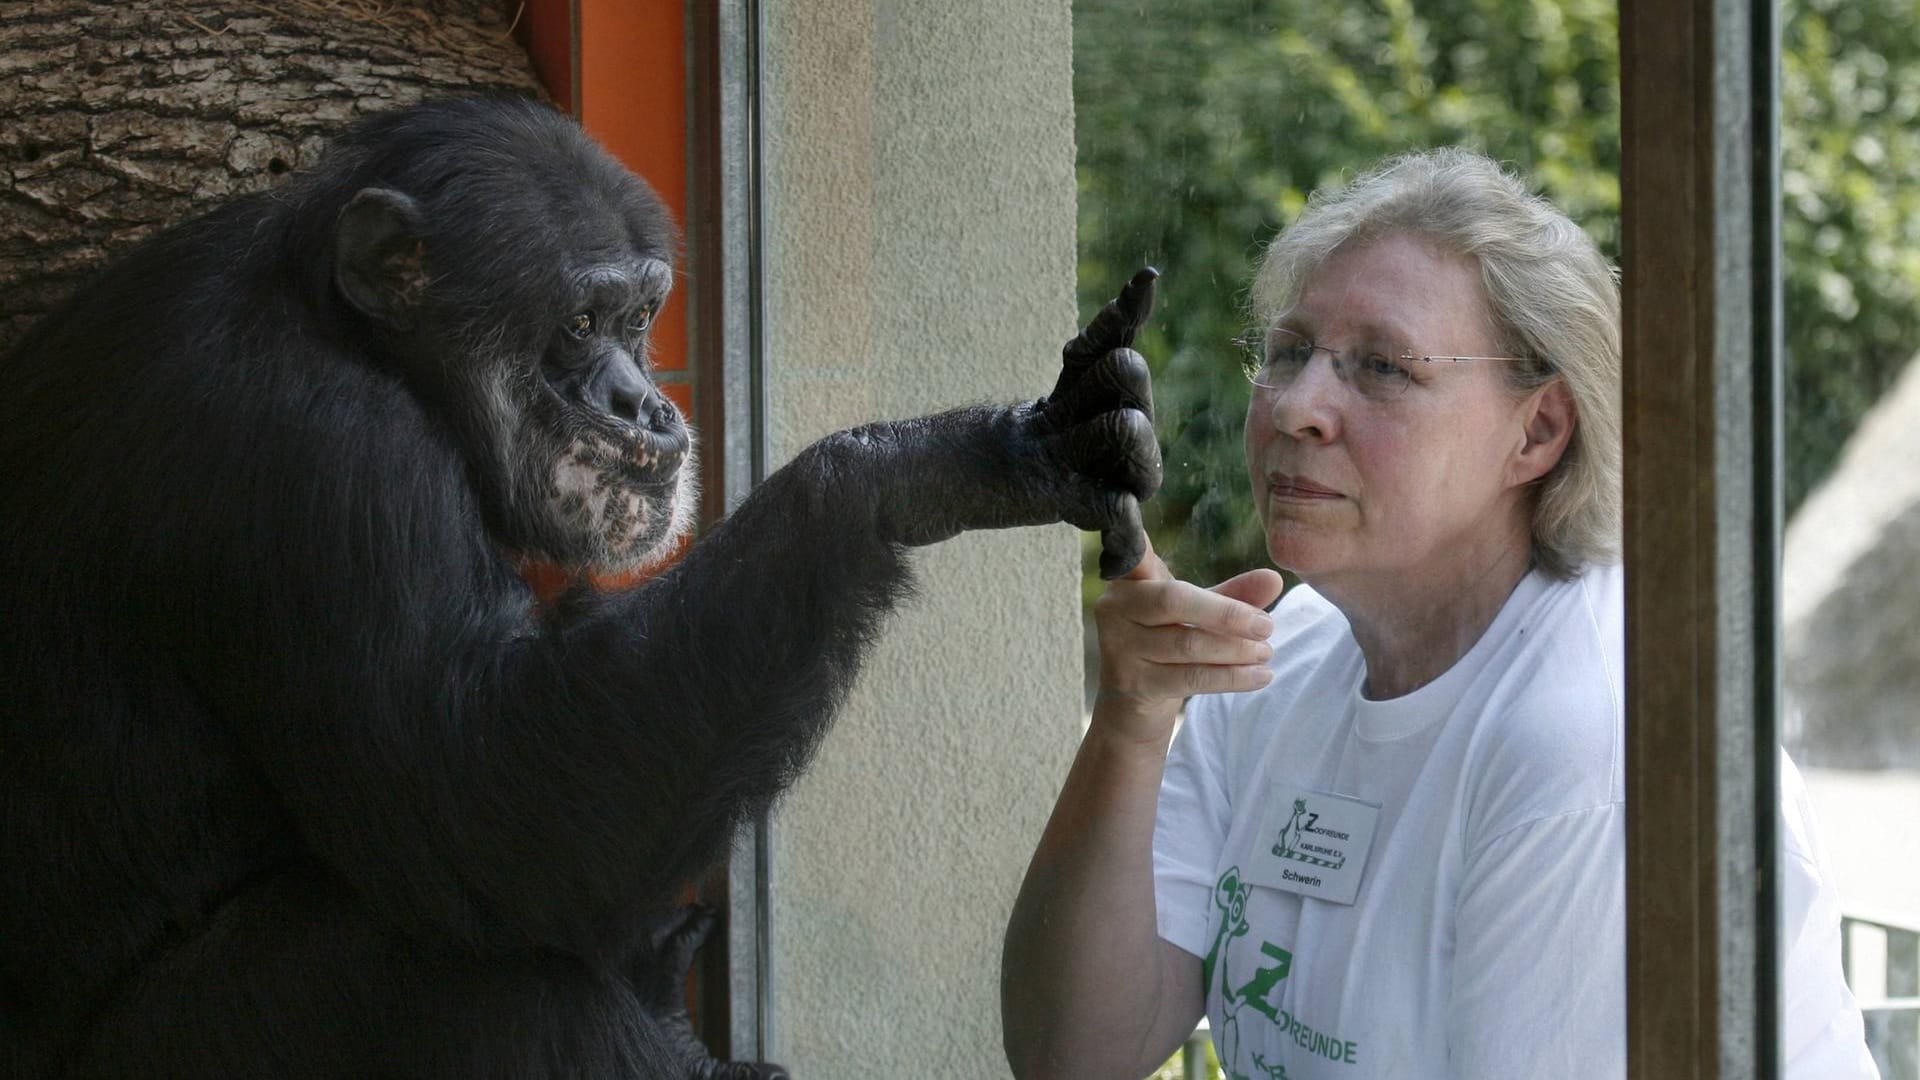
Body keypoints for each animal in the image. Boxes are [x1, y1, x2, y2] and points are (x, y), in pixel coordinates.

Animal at [0, 94, 1159, 1076]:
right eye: (577, 324)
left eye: (641, 315)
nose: (643, 402)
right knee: (468, 989)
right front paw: (921, 466)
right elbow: (488, 794)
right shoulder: (316, 459)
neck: (351, 334)